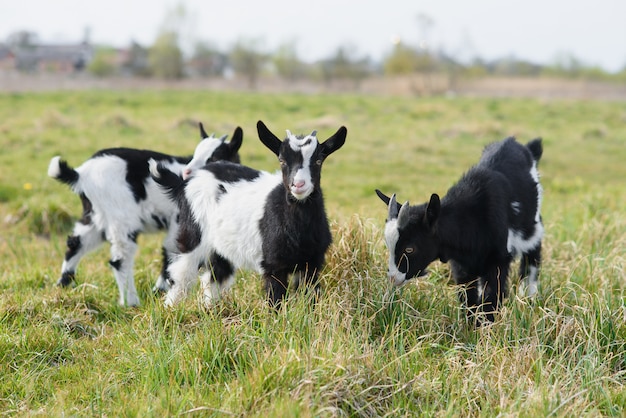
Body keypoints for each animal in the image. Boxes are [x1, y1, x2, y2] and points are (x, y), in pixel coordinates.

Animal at [47, 122, 243, 306]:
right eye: (196, 154)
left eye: (215, 156)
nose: (186, 173)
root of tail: (80, 174)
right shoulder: (179, 223)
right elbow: (172, 253)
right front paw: (162, 292)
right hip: (121, 216)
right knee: (121, 258)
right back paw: (131, 302)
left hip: (95, 215)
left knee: (75, 243)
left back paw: (63, 287)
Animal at [150, 120, 346, 306]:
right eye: (282, 160)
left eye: (319, 161)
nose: (298, 185)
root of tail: (187, 181)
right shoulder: (273, 264)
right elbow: (276, 300)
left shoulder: (312, 263)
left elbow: (311, 298)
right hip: (193, 233)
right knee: (181, 275)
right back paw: (171, 309)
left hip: (220, 244)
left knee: (215, 276)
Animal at [376, 137, 540, 324]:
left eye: (410, 248)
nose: (393, 278)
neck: (472, 217)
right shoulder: (462, 268)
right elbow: (468, 299)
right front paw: (469, 327)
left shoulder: (498, 260)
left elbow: (491, 298)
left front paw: (487, 328)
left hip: (533, 229)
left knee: (532, 257)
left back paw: (529, 297)